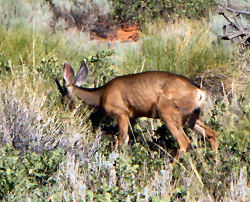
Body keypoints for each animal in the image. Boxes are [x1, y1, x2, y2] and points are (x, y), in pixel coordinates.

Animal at [54, 59, 217, 161]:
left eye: (63, 97)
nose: (64, 110)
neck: (101, 96)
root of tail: (199, 92)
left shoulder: (121, 113)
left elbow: (122, 140)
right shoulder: (132, 116)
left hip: (168, 112)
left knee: (184, 142)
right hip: (190, 116)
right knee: (211, 134)